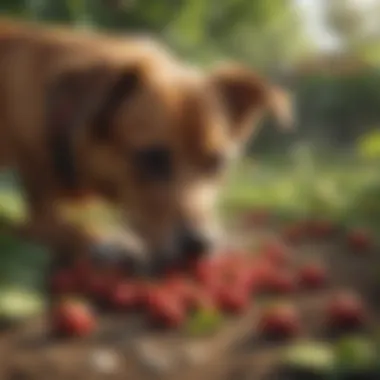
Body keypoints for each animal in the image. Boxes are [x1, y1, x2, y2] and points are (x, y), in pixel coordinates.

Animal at [0, 18, 294, 274]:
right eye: (151, 158)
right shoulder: (31, 216)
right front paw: (108, 244)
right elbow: (69, 228)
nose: (200, 245)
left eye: (217, 162)